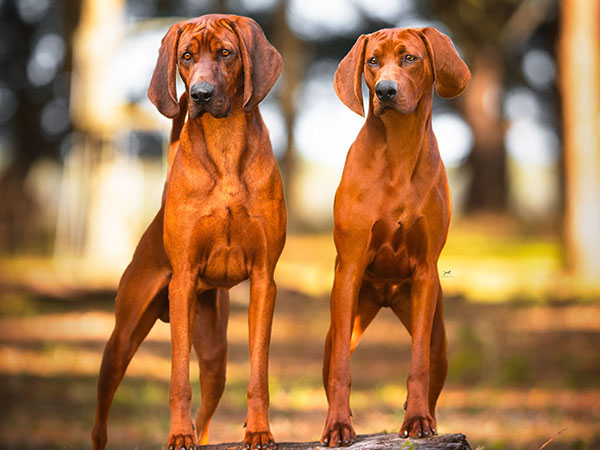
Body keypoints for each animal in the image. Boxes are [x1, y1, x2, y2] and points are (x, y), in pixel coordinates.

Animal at [91, 14, 286, 450]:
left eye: (226, 53)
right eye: (186, 57)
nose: (199, 94)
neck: (225, 147)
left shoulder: (264, 280)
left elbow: (260, 373)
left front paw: (259, 429)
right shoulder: (181, 284)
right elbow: (178, 377)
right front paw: (178, 434)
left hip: (215, 355)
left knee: (208, 413)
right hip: (121, 341)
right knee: (99, 422)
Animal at [322, 28, 472, 446]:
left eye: (410, 58)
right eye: (373, 61)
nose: (385, 91)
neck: (399, 153)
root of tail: (386, 298)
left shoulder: (424, 274)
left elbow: (417, 362)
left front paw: (417, 419)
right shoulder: (350, 269)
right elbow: (342, 369)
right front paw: (338, 426)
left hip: (439, 338)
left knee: (432, 367)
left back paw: (429, 418)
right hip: (346, 320)